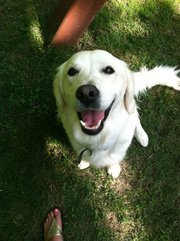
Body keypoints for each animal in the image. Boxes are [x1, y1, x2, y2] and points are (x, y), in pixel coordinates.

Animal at [53, 49, 180, 177]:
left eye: (109, 70)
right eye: (72, 71)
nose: (86, 93)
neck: (97, 139)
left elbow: (114, 159)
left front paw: (113, 168)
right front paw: (84, 162)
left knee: (135, 115)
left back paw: (142, 135)